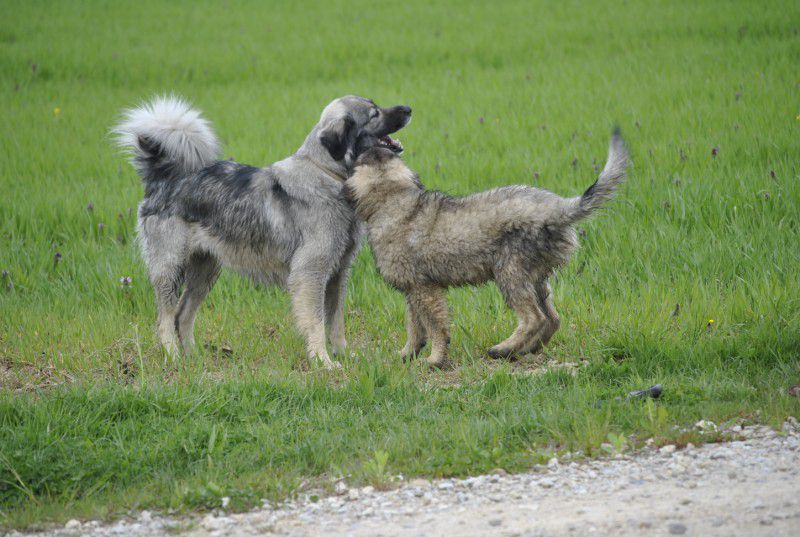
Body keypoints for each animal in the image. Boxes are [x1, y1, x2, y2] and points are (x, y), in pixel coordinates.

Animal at [114, 94, 412, 366]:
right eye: (374, 114)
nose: (409, 108)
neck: (326, 173)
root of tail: (162, 177)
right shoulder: (310, 273)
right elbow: (316, 322)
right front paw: (323, 361)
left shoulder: (339, 273)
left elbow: (336, 320)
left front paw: (342, 354)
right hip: (170, 270)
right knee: (165, 319)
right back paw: (174, 357)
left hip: (205, 271)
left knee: (183, 315)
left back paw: (195, 358)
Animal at [346, 132, 628, 366]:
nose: (367, 142)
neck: (393, 200)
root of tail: (559, 209)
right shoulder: (414, 290)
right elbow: (415, 327)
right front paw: (407, 354)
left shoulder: (425, 290)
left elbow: (436, 327)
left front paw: (435, 359)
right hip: (536, 277)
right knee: (552, 318)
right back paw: (527, 349)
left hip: (510, 271)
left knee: (533, 318)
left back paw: (503, 349)